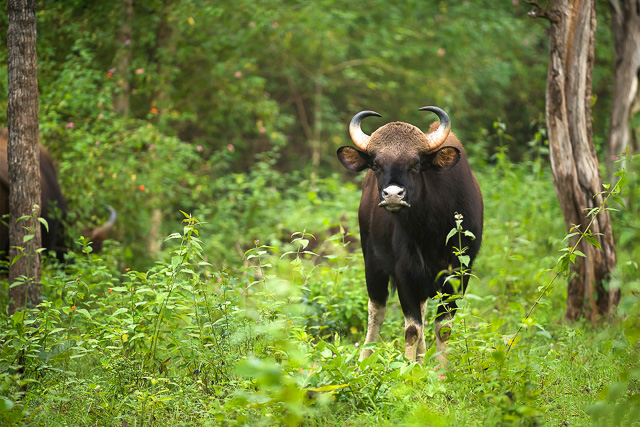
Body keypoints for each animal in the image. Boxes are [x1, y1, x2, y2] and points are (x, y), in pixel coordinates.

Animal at [338, 106, 482, 372]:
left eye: (415, 164)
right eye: (376, 164)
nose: (393, 195)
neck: (430, 230)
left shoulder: (460, 272)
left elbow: (442, 327)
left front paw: (439, 373)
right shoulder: (404, 271)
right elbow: (411, 329)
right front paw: (408, 371)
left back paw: (422, 360)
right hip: (371, 261)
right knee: (377, 310)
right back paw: (365, 361)